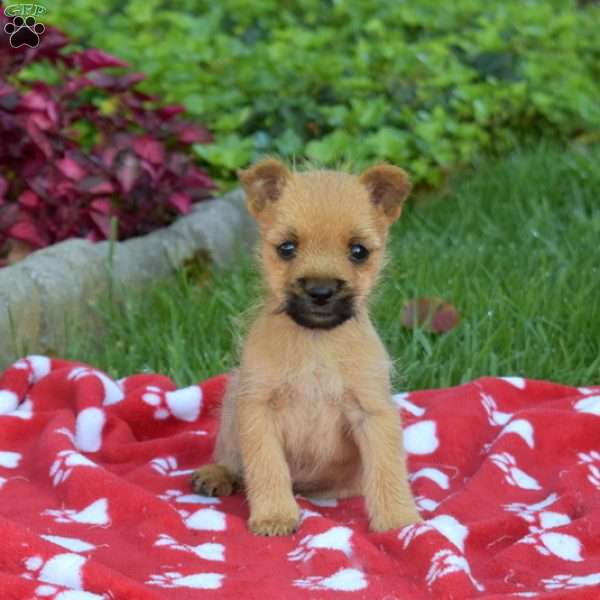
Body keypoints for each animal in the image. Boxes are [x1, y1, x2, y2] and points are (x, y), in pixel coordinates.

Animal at [192, 158, 422, 536]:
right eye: (287, 247)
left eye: (358, 251)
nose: (320, 290)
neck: (316, 344)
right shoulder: (258, 409)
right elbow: (267, 467)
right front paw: (274, 516)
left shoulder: (372, 412)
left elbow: (388, 469)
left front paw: (399, 521)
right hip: (231, 405)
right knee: (231, 458)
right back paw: (216, 473)